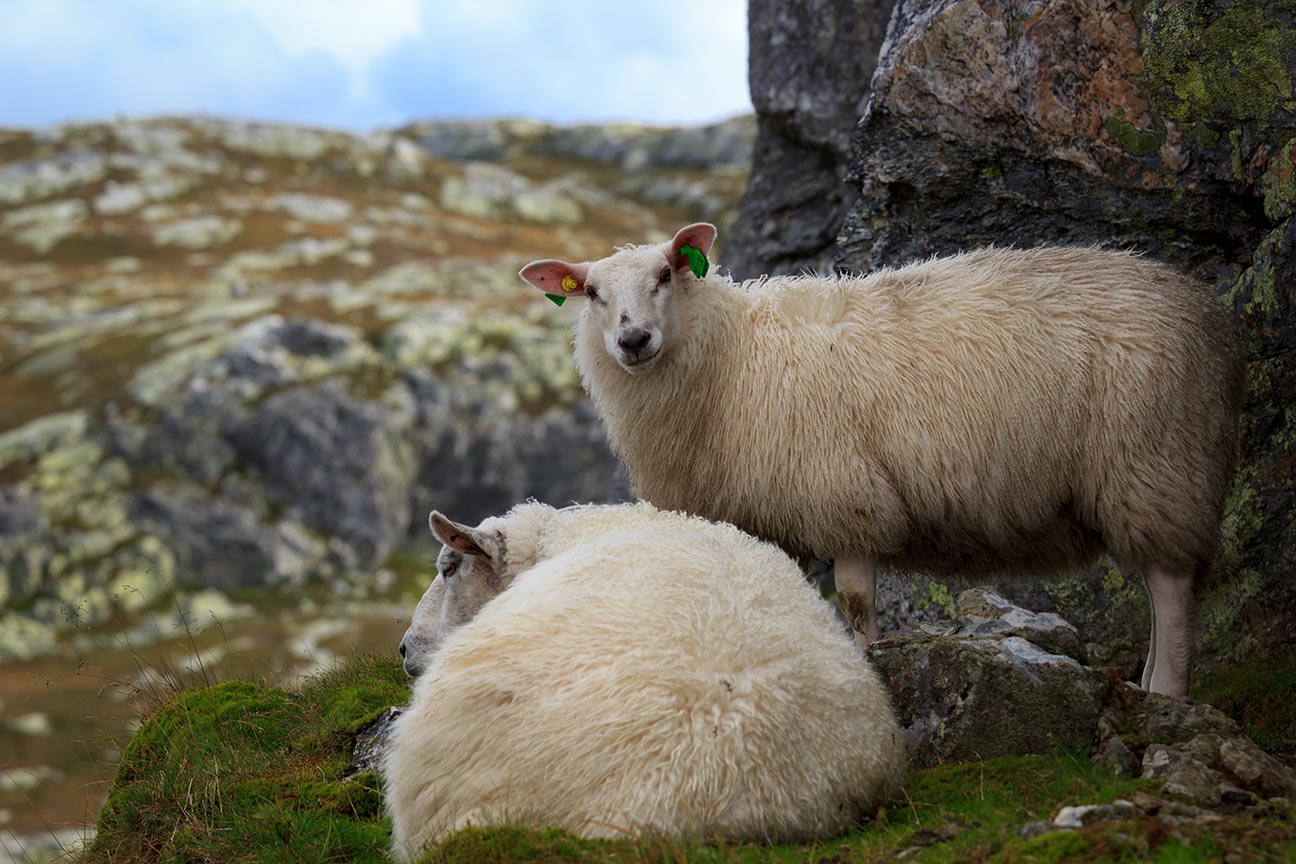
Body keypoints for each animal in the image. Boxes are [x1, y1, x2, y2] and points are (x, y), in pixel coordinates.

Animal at [515, 226, 1244, 699]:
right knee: (1161, 587)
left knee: (1171, 587)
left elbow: (858, 601)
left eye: (666, 275)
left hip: (1156, 460)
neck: (732, 359)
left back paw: (1169, 693)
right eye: (592, 293)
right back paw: (1147, 686)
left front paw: (866, 665)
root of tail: (1206, 310)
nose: (634, 340)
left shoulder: (844, 495)